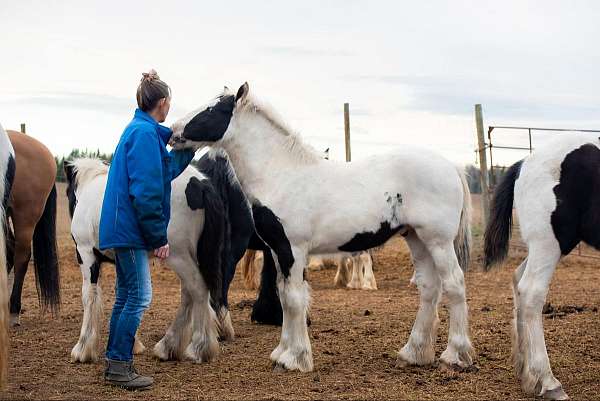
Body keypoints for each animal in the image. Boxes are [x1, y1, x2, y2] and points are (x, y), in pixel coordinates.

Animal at [65, 150, 253, 362]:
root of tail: (200, 184)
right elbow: (125, 295)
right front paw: (131, 344)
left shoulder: (86, 254)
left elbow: (89, 296)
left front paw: (83, 349)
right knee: (188, 293)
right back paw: (169, 346)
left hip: (178, 256)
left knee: (197, 289)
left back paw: (199, 347)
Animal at [171, 82, 476, 372]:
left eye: (212, 110)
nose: (173, 132)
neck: (283, 174)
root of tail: (451, 166)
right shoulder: (278, 251)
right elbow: (284, 296)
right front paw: (282, 353)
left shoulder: (293, 249)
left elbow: (294, 299)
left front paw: (295, 358)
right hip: (416, 239)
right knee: (429, 288)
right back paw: (414, 353)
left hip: (438, 241)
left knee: (454, 284)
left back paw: (456, 354)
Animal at [482, 133, 600, 398]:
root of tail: (524, 163)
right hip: (549, 243)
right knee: (531, 293)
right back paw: (548, 382)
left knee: (518, 280)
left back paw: (526, 374)